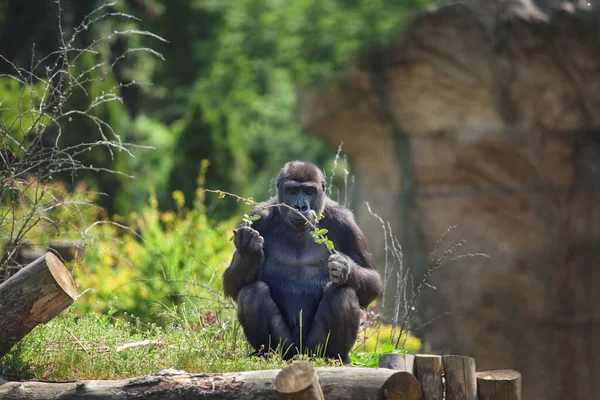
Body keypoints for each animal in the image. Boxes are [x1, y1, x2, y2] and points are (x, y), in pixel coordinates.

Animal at [223, 160, 382, 362]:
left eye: (308, 191)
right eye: (292, 191)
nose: (300, 206)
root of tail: (300, 354)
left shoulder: (347, 223)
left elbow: (372, 282)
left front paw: (345, 268)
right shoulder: (256, 216)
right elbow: (233, 284)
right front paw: (249, 250)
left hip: (314, 350)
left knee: (342, 293)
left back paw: (336, 355)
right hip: (287, 350)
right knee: (251, 293)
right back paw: (265, 352)